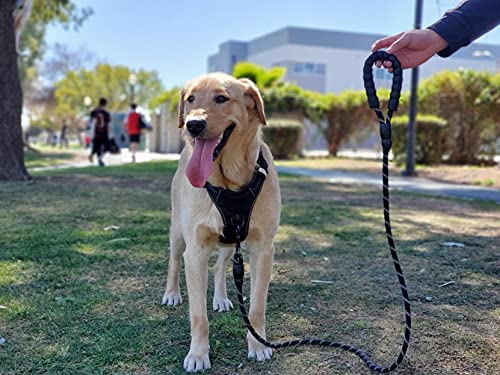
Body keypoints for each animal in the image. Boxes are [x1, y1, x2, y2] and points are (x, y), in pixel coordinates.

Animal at [163, 73, 282, 374]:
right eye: (190, 98)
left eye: (221, 98)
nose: (193, 124)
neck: (229, 181)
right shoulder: (195, 251)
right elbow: (198, 316)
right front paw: (198, 354)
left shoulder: (264, 249)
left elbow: (256, 308)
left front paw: (258, 346)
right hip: (177, 234)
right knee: (173, 261)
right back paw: (171, 293)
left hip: (231, 242)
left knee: (219, 268)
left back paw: (220, 297)